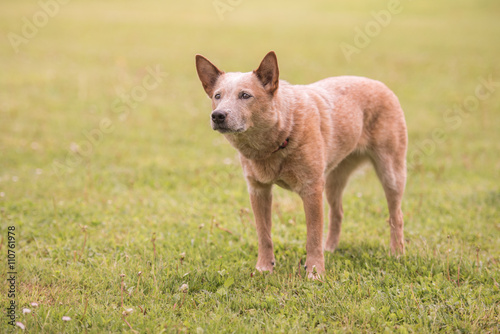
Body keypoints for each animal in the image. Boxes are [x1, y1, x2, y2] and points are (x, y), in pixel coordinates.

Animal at [194, 51, 406, 278]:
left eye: (245, 95)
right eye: (217, 96)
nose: (218, 115)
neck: (280, 137)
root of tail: (380, 84)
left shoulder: (311, 189)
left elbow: (313, 237)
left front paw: (315, 272)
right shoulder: (258, 190)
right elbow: (264, 234)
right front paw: (264, 268)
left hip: (391, 173)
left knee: (396, 215)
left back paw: (397, 253)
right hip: (333, 179)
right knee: (337, 212)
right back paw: (330, 249)